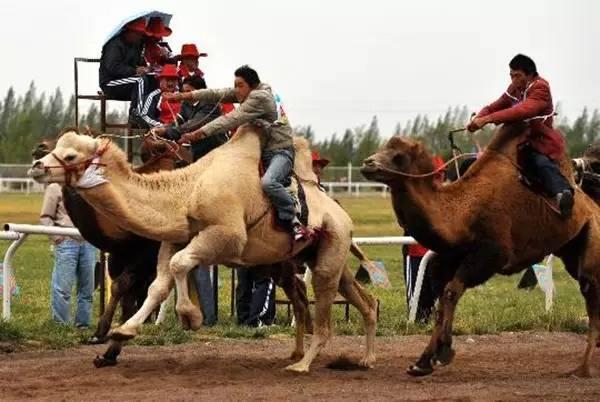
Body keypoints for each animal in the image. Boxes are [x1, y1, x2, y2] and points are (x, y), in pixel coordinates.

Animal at [29, 125, 376, 374]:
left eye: (70, 155)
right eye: (56, 147)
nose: (36, 164)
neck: (186, 193)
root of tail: (343, 214)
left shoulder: (226, 235)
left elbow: (179, 266)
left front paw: (190, 316)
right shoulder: (173, 238)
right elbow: (159, 283)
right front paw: (120, 335)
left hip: (326, 256)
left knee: (323, 312)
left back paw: (302, 365)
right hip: (319, 258)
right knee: (360, 299)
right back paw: (361, 359)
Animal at [364, 121, 600, 376]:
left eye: (398, 156)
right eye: (383, 146)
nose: (367, 163)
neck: (463, 214)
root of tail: (593, 207)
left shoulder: (491, 255)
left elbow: (450, 292)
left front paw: (441, 353)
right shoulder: (450, 257)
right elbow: (442, 297)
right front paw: (424, 361)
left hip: (591, 246)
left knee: (592, 294)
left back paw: (582, 369)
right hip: (571, 250)